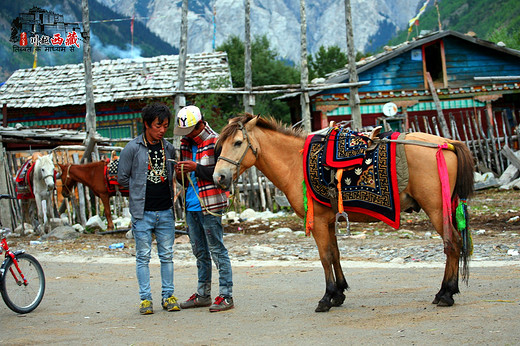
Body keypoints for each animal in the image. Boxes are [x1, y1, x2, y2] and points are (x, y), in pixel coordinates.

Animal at [212, 114, 476, 314]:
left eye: (237, 142)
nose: (219, 177)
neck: (295, 163)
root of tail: (447, 143)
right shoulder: (328, 221)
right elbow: (335, 255)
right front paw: (338, 293)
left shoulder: (318, 222)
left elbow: (325, 257)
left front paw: (327, 298)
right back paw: (446, 291)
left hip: (436, 209)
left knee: (452, 243)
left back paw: (446, 293)